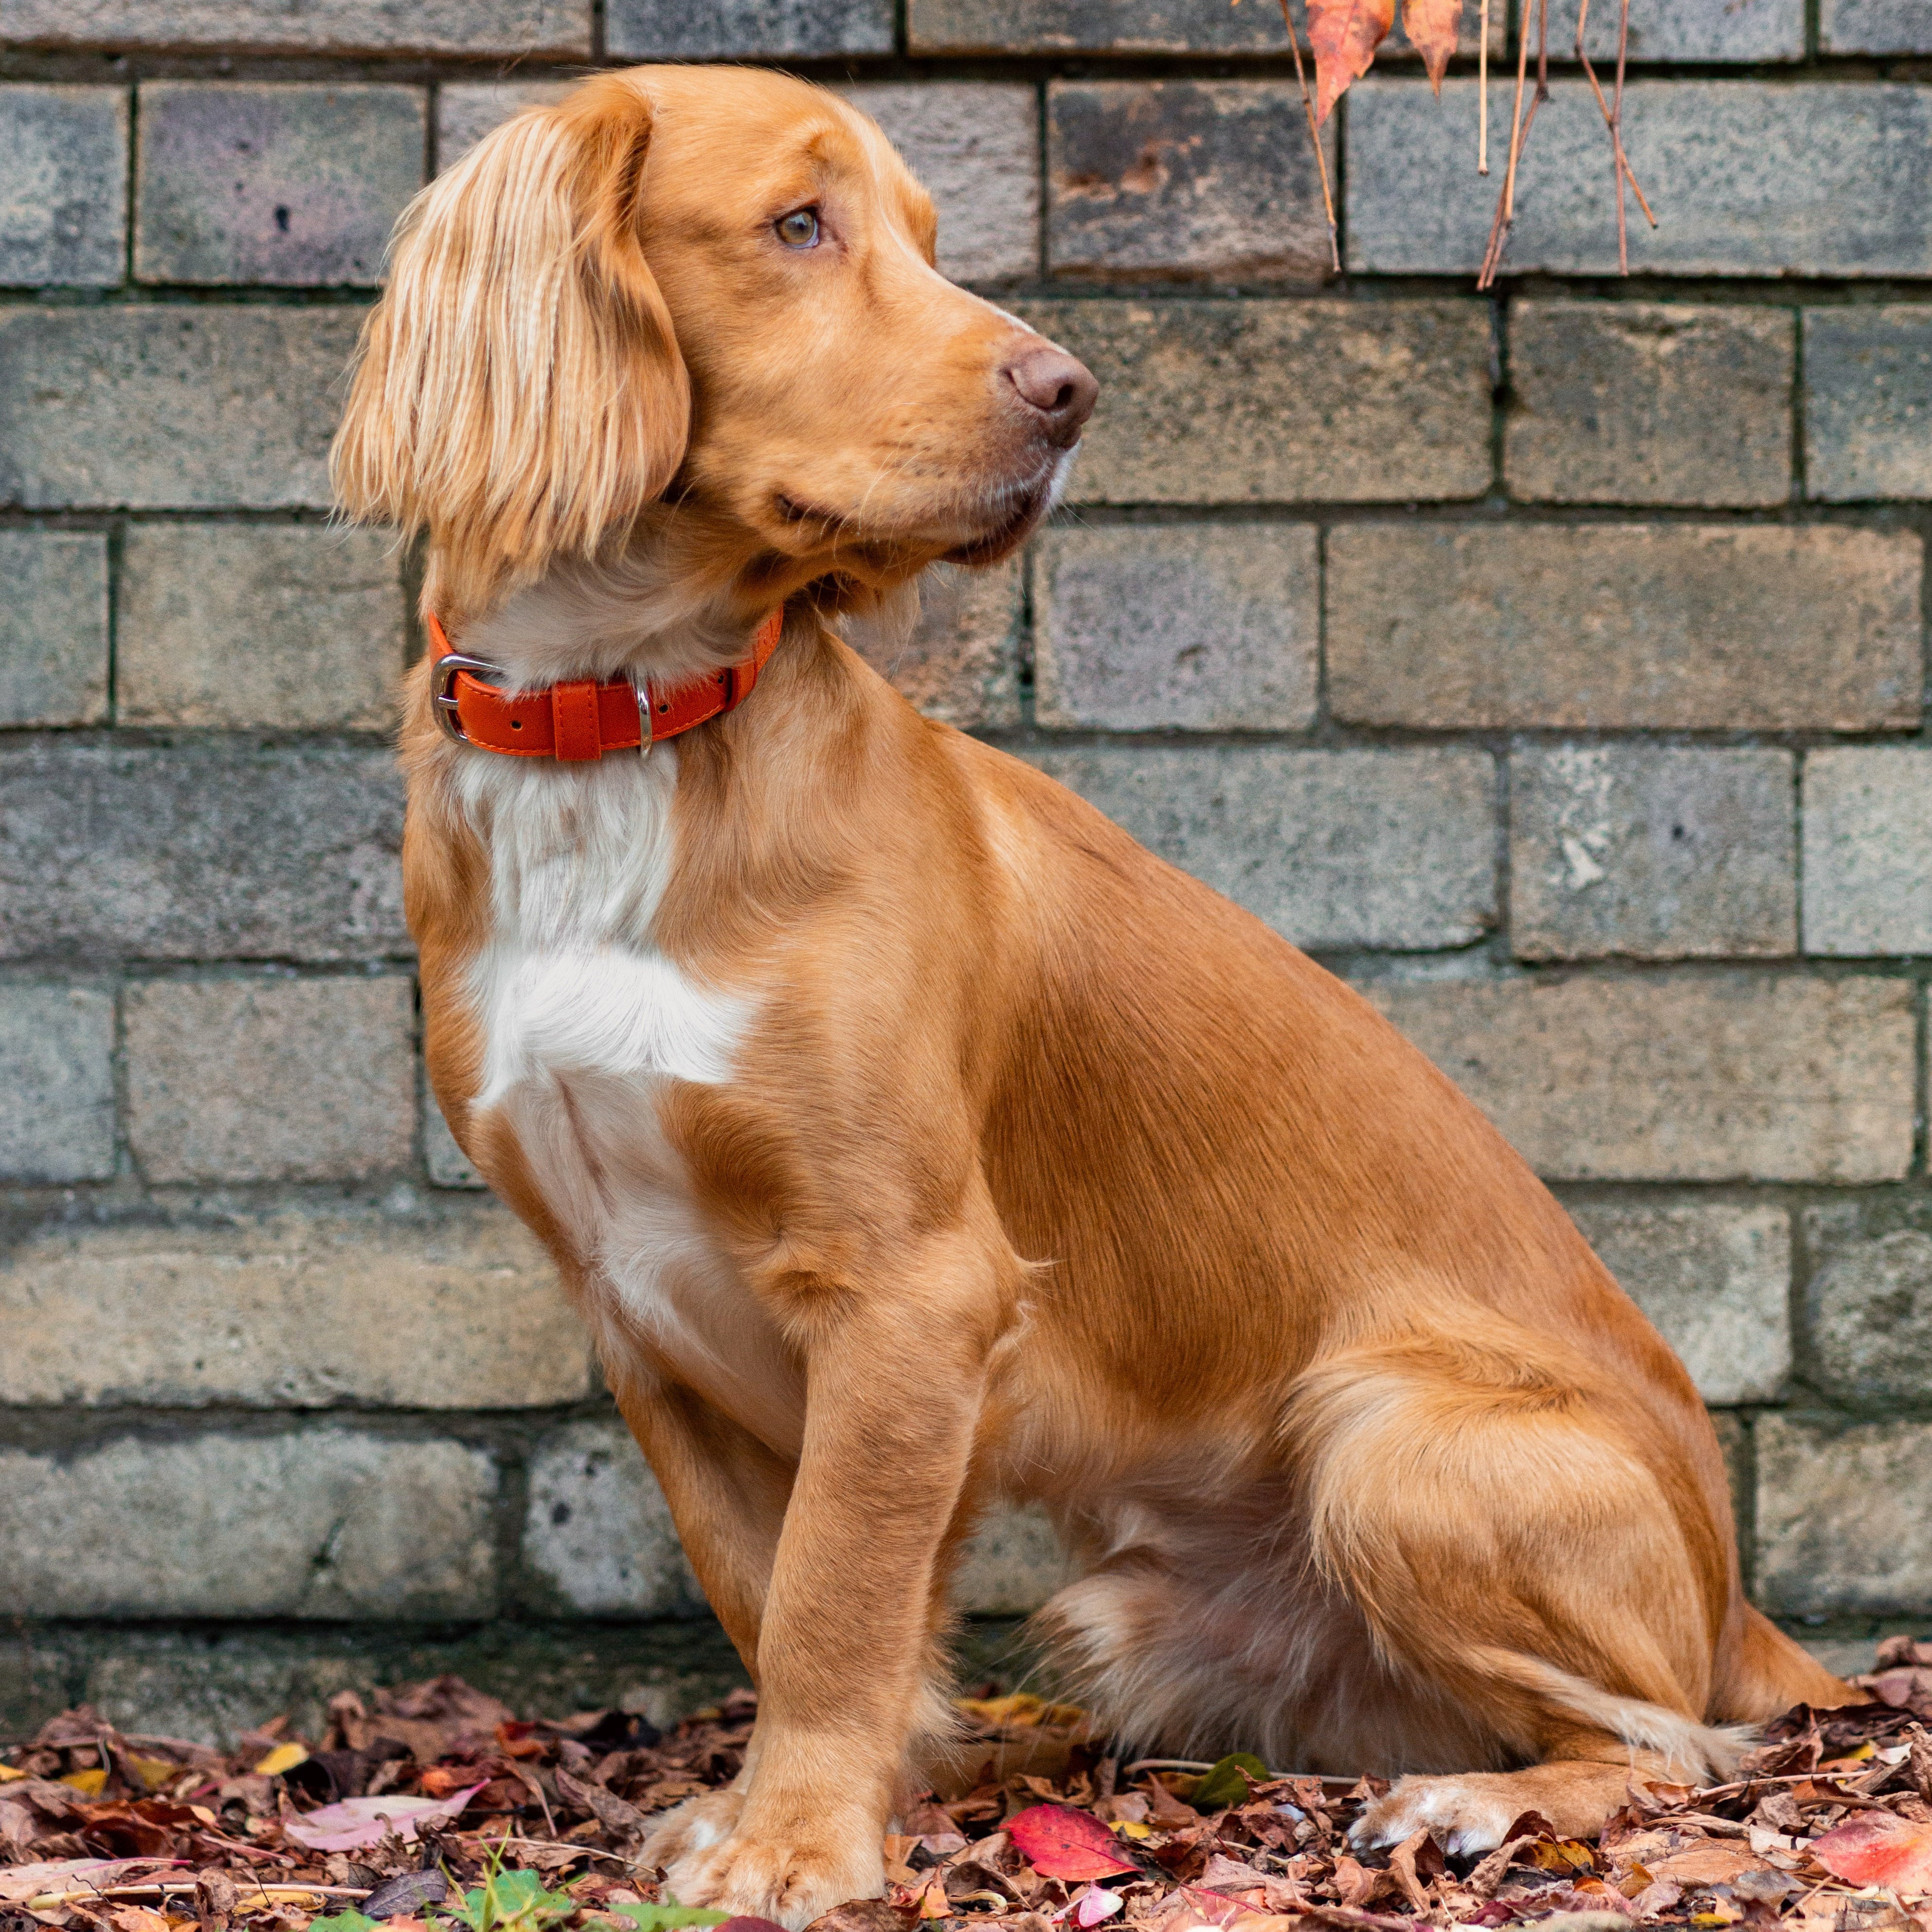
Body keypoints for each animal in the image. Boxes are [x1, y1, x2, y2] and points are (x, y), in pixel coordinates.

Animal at [328, 68, 1839, 1932]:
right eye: (799, 226)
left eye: (923, 235)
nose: (1070, 395)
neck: (622, 724)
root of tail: (1732, 1588)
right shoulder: (635, 1307)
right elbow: (770, 1581)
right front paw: (815, 1800)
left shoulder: (913, 1284)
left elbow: (829, 1595)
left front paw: (796, 1844)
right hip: (1145, 1603)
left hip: (1393, 1432)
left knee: (1675, 1741)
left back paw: (1475, 1806)